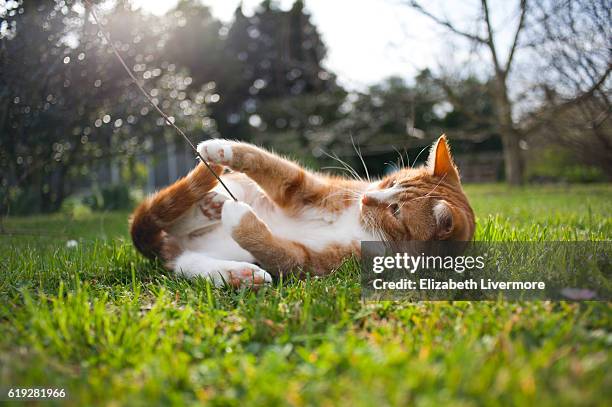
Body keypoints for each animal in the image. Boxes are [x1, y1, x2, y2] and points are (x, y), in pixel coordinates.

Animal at [129, 135, 474, 286]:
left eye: (395, 211)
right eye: (390, 180)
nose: (366, 199)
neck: (359, 224)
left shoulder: (313, 263)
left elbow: (280, 252)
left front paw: (240, 219)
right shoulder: (310, 191)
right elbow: (279, 170)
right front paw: (221, 149)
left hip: (216, 254)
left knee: (185, 262)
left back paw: (237, 273)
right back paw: (210, 205)